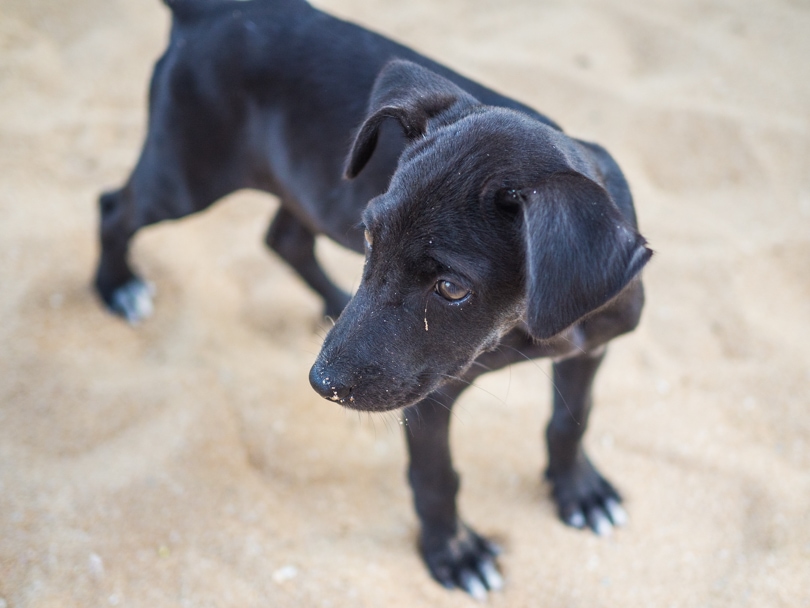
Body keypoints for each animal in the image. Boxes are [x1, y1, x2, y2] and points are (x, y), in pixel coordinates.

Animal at [94, 0, 652, 600]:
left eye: (452, 288)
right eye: (369, 239)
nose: (323, 384)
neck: (530, 323)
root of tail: (213, 12)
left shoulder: (590, 349)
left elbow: (571, 422)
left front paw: (579, 493)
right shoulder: (432, 394)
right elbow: (436, 477)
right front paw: (453, 554)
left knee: (283, 238)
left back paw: (333, 298)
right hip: (184, 176)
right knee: (114, 209)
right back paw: (116, 286)